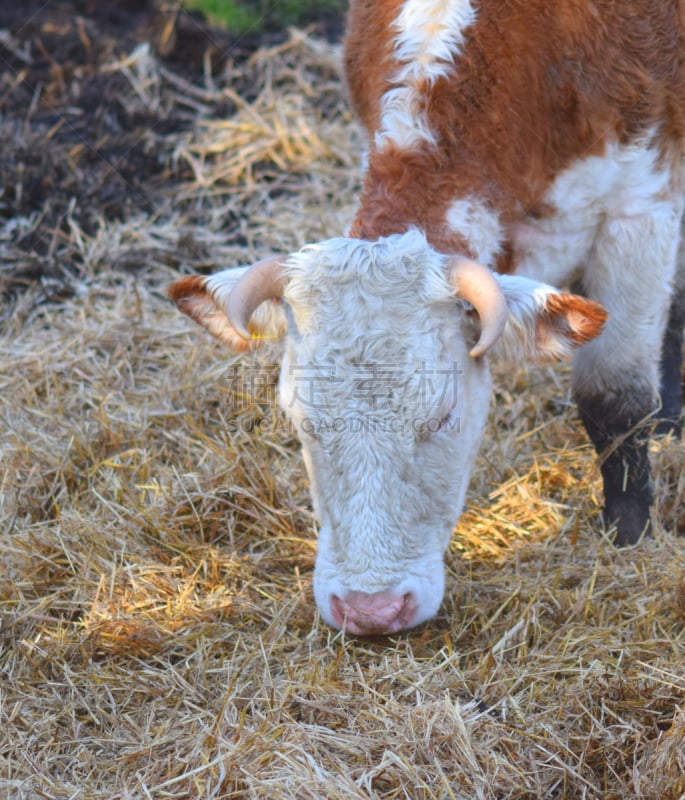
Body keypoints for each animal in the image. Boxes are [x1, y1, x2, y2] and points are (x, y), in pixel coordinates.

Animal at [167, 1, 684, 636]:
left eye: (443, 417)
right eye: (302, 421)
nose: (372, 610)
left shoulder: (641, 205)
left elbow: (615, 398)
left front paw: (629, 535)